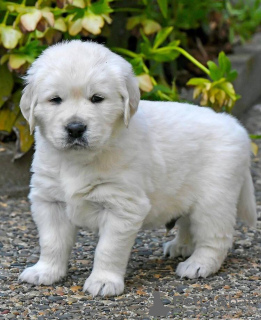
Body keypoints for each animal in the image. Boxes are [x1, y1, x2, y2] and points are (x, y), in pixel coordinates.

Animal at [18, 41, 256, 296]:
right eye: (55, 100)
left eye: (97, 98)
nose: (75, 128)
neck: (79, 160)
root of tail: (236, 126)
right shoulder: (49, 201)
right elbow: (51, 242)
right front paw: (45, 271)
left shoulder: (122, 207)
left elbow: (108, 249)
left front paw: (103, 281)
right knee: (188, 222)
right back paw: (180, 246)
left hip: (213, 199)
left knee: (216, 238)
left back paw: (199, 264)